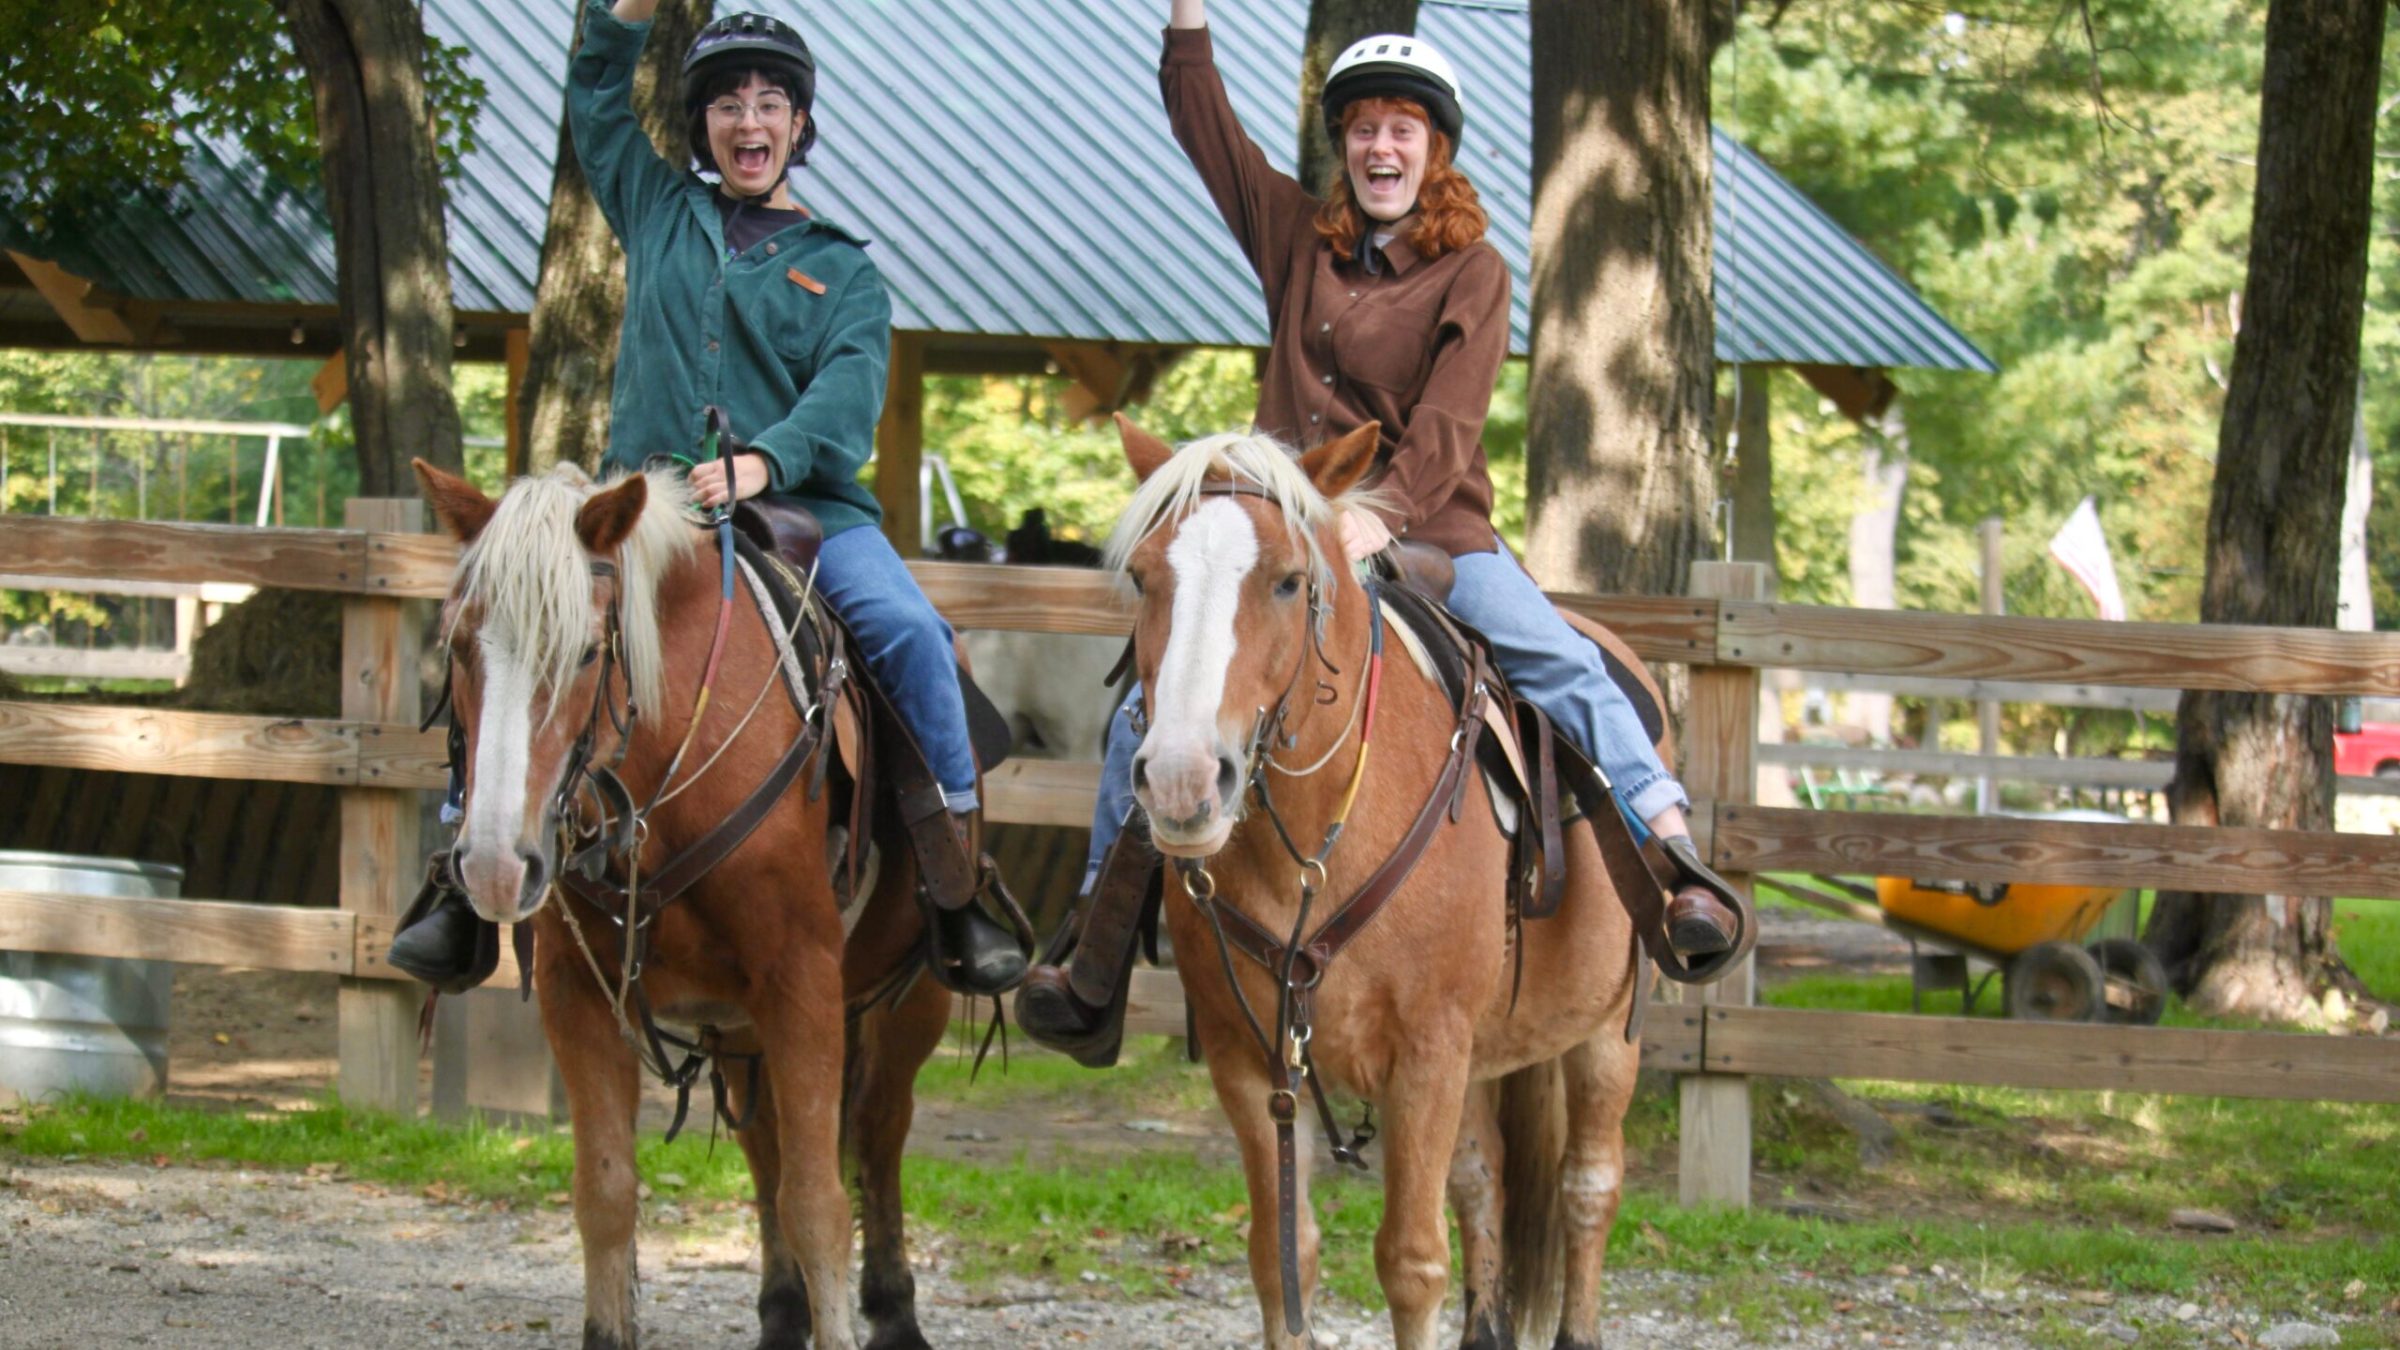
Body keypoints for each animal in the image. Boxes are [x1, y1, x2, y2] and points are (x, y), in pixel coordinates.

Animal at [413, 460, 950, 1350]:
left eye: (587, 651)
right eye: (456, 646)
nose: (492, 865)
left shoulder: (803, 982)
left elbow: (819, 1202)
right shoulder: (577, 993)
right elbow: (606, 1194)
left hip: (910, 1001)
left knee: (878, 1133)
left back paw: (896, 1312)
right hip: (737, 1029)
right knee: (767, 1145)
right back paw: (782, 1313)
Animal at [1104, 416, 1647, 1350]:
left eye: (1289, 581)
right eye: (1144, 577)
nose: (1181, 781)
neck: (1315, 845)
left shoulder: (1428, 1050)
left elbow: (1410, 1261)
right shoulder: (1248, 1057)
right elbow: (1282, 1255)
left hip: (1607, 1032)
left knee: (1587, 1185)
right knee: (1482, 1177)